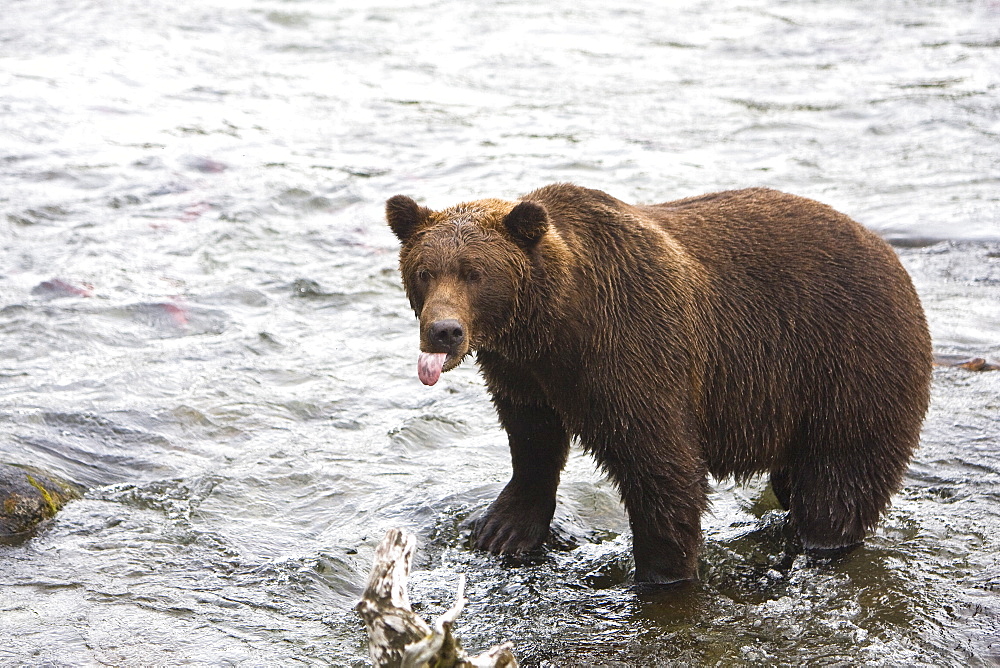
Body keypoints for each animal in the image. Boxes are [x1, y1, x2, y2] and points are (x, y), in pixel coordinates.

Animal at [382, 184, 928, 584]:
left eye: (475, 272)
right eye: (426, 270)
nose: (444, 331)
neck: (552, 325)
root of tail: (887, 253)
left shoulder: (633, 347)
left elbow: (661, 464)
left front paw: (662, 572)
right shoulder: (525, 374)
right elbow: (532, 439)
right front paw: (502, 528)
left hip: (847, 365)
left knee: (839, 481)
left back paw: (818, 545)